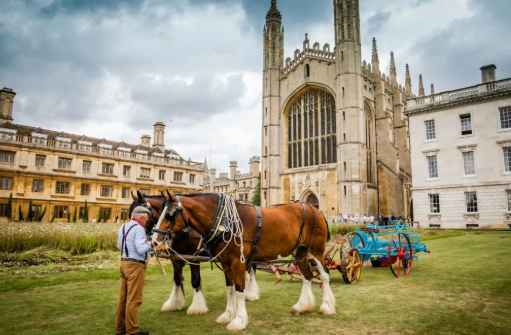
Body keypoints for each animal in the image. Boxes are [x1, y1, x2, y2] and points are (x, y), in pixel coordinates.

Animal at [153, 193, 336, 332]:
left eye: (170, 215)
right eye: (159, 213)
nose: (155, 241)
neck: (224, 221)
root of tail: (314, 208)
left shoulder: (237, 262)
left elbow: (240, 290)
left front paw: (239, 320)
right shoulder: (226, 263)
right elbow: (230, 289)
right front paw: (228, 315)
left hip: (317, 251)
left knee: (324, 275)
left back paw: (327, 306)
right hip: (300, 252)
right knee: (307, 276)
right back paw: (302, 306)